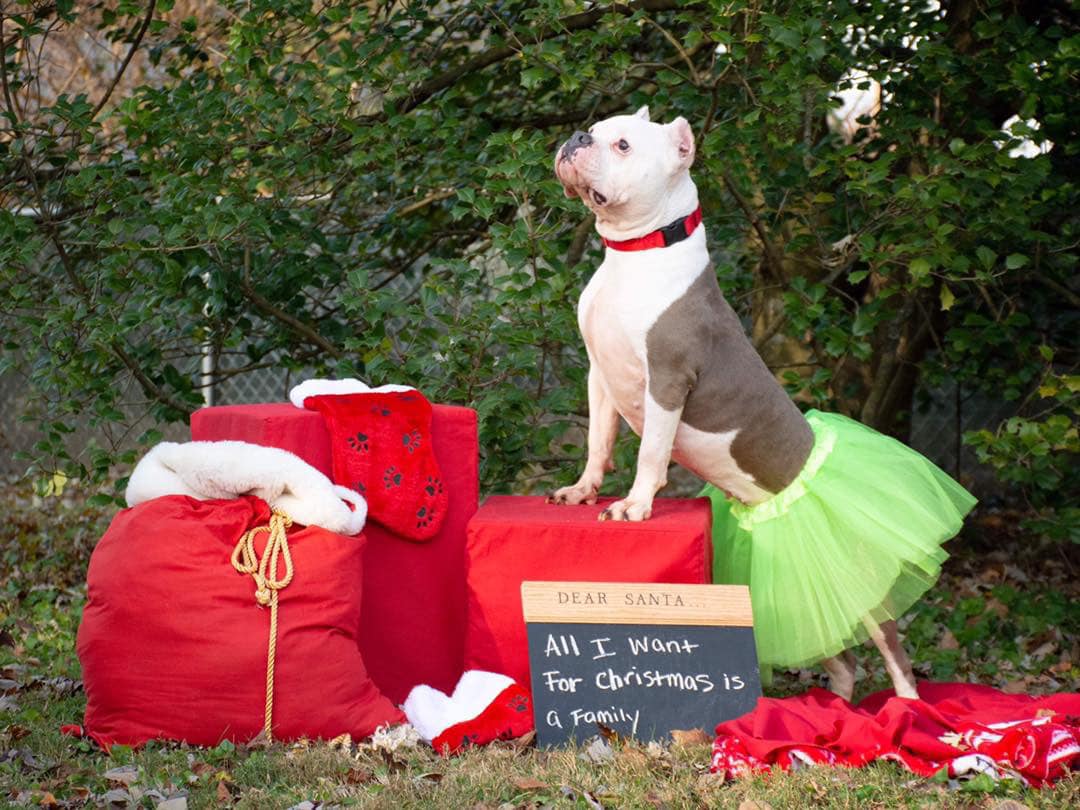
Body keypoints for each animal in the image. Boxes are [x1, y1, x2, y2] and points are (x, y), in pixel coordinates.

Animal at [548, 106, 920, 704]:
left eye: (623, 144)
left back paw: (906, 715)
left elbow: (650, 451)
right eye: (596, 129)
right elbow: (598, 440)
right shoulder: (599, 376)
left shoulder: (668, 380)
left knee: (891, 650)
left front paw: (634, 506)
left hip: (863, 591)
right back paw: (831, 711)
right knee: (841, 660)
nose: (578, 138)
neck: (636, 255)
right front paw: (583, 491)